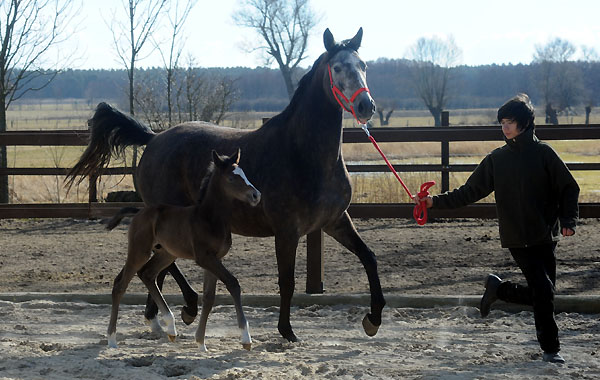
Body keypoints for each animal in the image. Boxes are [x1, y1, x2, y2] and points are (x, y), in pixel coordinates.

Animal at [106, 148, 260, 350]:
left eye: (244, 174)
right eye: (231, 178)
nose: (256, 195)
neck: (209, 218)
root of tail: (139, 212)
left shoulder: (215, 259)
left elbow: (209, 297)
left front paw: (201, 343)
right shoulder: (205, 258)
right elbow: (233, 283)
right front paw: (246, 339)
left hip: (166, 254)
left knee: (147, 274)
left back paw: (171, 327)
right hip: (140, 251)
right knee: (120, 285)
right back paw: (112, 339)